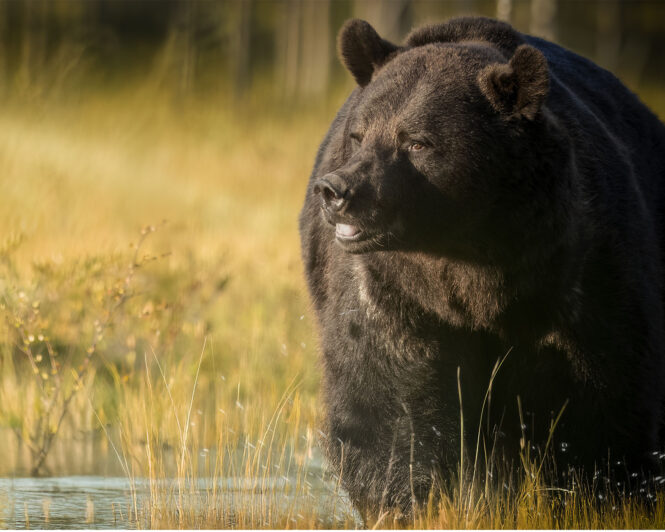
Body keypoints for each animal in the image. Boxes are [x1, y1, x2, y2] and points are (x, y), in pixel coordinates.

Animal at [300, 14, 664, 516]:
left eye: (416, 141)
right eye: (358, 134)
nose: (337, 191)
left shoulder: (582, 270)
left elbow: (603, 394)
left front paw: (599, 495)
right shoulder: (388, 289)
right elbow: (387, 395)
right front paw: (408, 498)